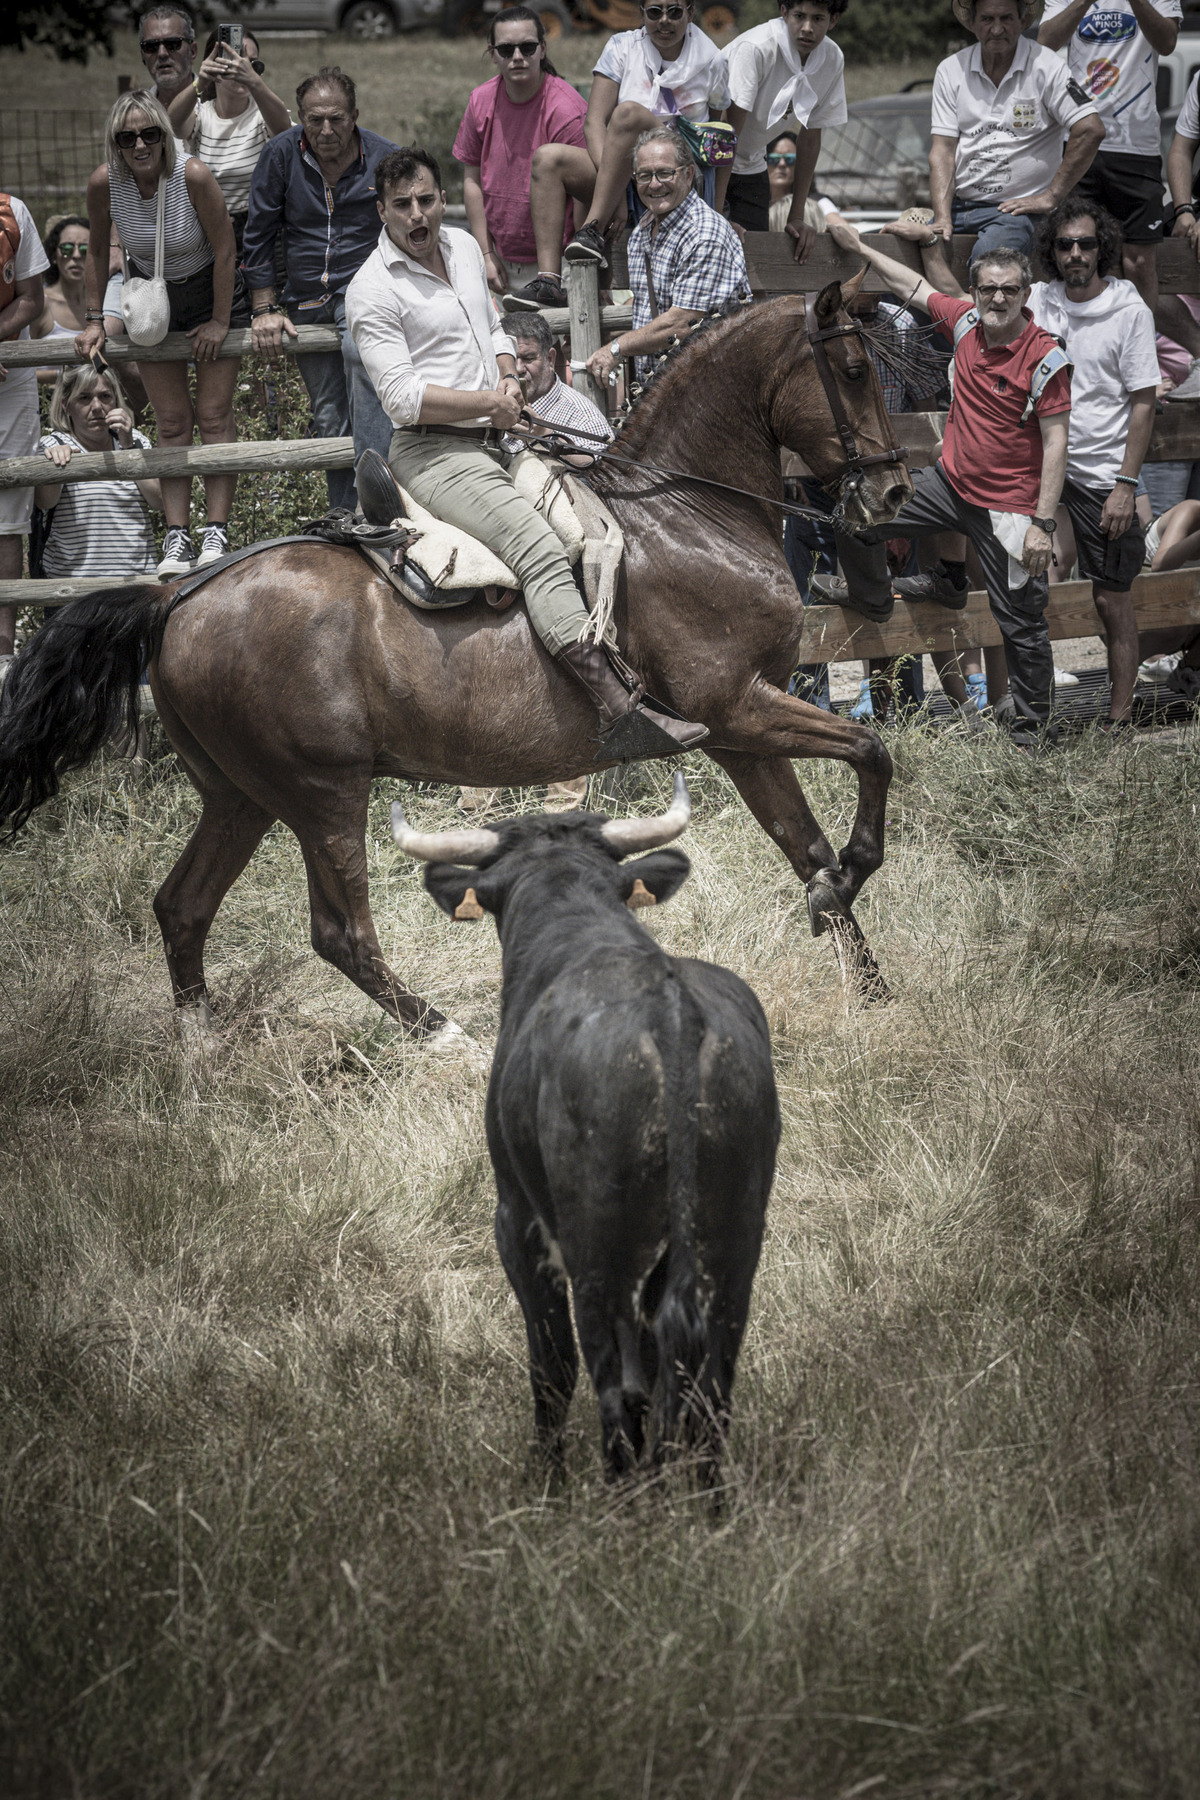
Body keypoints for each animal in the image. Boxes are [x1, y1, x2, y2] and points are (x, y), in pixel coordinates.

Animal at [0, 277, 910, 1044]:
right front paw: (855, 883)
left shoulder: (740, 736)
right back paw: (445, 1036)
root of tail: (175, 600)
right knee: (339, 931)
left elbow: (807, 847)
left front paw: (866, 976)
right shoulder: (736, 709)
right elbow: (872, 752)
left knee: (182, 907)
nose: (893, 494)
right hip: (322, 791)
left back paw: (203, 1049)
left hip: (240, 796)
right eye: (855, 369)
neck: (686, 516)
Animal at [394, 777, 784, 1490]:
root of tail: (673, 1017)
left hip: (601, 1250)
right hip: (732, 1240)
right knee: (709, 1386)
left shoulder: (517, 1219)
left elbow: (550, 1366)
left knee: (616, 1384)